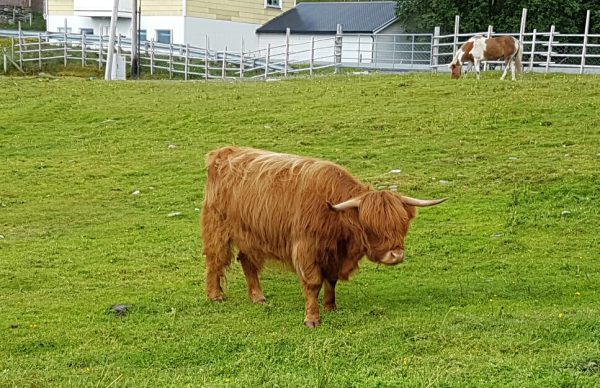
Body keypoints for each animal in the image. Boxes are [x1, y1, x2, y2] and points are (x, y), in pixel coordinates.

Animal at [202, 146, 446, 328]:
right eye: (371, 227)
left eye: (402, 225)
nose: (396, 255)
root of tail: (222, 152)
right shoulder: (306, 249)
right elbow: (313, 284)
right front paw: (312, 318)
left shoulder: (334, 255)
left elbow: (331, 280)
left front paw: (331, 307)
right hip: (217, 228)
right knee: (215, 259)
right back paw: (215, 295)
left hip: (250, 236)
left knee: (247, 260)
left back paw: (258, 297)